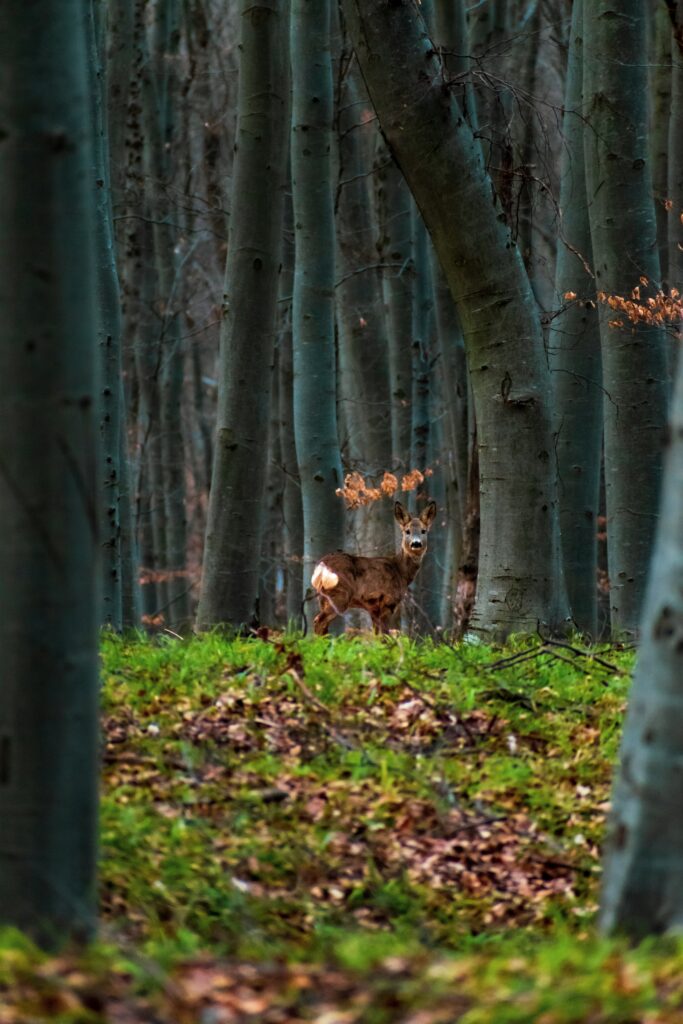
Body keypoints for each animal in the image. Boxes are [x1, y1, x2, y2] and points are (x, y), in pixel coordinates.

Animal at [310, 500, 437, 635]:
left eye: (424, 531)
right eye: (407, 531)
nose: (416, 543)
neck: (400, 571)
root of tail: (321, 566)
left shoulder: (373, 609)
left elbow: (377, 636)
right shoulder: (387, 602)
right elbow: (385, 635)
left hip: (323, 598)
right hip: (339, 594)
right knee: (318, 621)